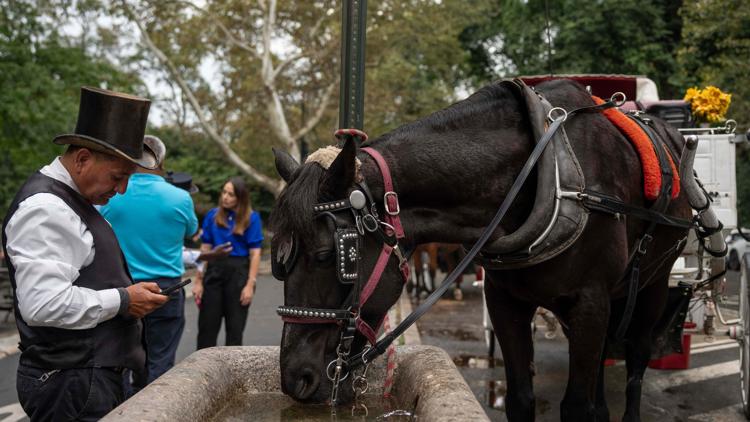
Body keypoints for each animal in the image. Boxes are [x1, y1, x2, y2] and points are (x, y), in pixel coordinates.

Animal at [270, 78, 695, 421]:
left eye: (328, 255)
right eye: (280, 261)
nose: (295, 378)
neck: (545, 171)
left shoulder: (590, 301)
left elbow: (576, 406)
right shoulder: (506, 301)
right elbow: (521, 399)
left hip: (652, 286)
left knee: (636, 362)